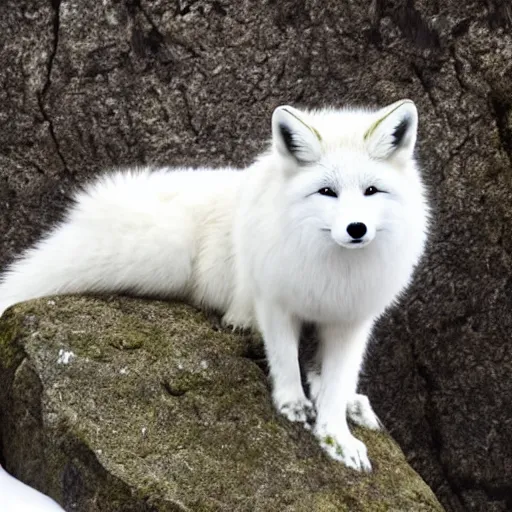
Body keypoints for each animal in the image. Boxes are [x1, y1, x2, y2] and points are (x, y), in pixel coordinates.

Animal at [0, 99, 428, 472]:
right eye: (327, 191)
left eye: (371, 190)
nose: (356, 229)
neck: (334, 268)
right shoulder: (274, 299)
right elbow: (286, 359)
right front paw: (291, 404)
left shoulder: (351, 319)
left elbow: (338, 381)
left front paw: (337, 437)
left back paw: (354, 404)